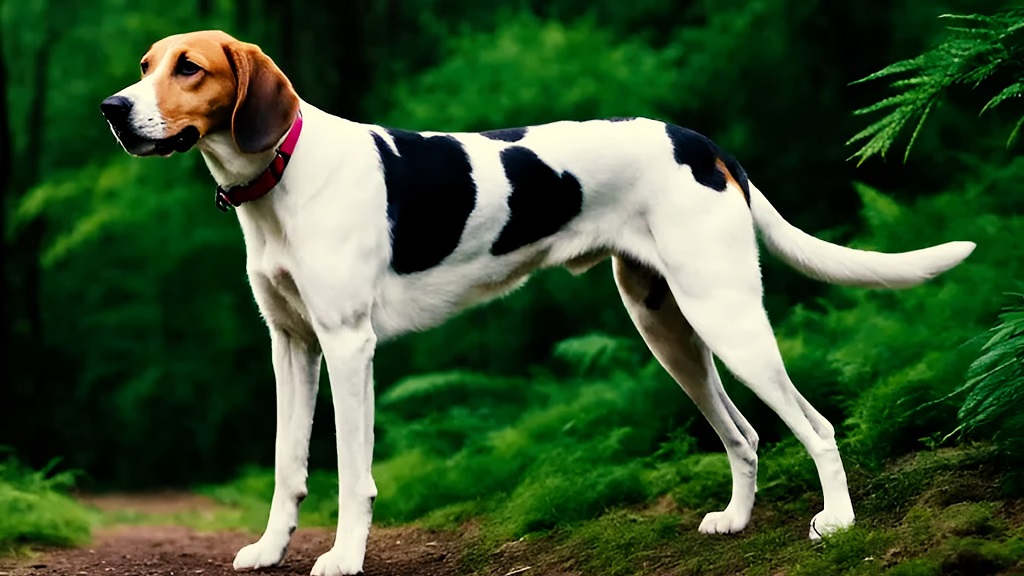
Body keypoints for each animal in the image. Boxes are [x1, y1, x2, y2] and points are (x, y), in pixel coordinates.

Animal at [101, 31, 974, 573]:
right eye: (145, 63)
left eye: (189, 68)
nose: (113, 109)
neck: (280, 174)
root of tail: (702, 143)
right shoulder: (292, 347)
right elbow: (289, 465)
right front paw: (269, 550)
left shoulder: (348, 347)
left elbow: (351, 472)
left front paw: (343, 558)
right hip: (668, 326)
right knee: (746, 433)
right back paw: (734, 521)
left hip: (725, 315)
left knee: (816, 425)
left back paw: (840, 523)